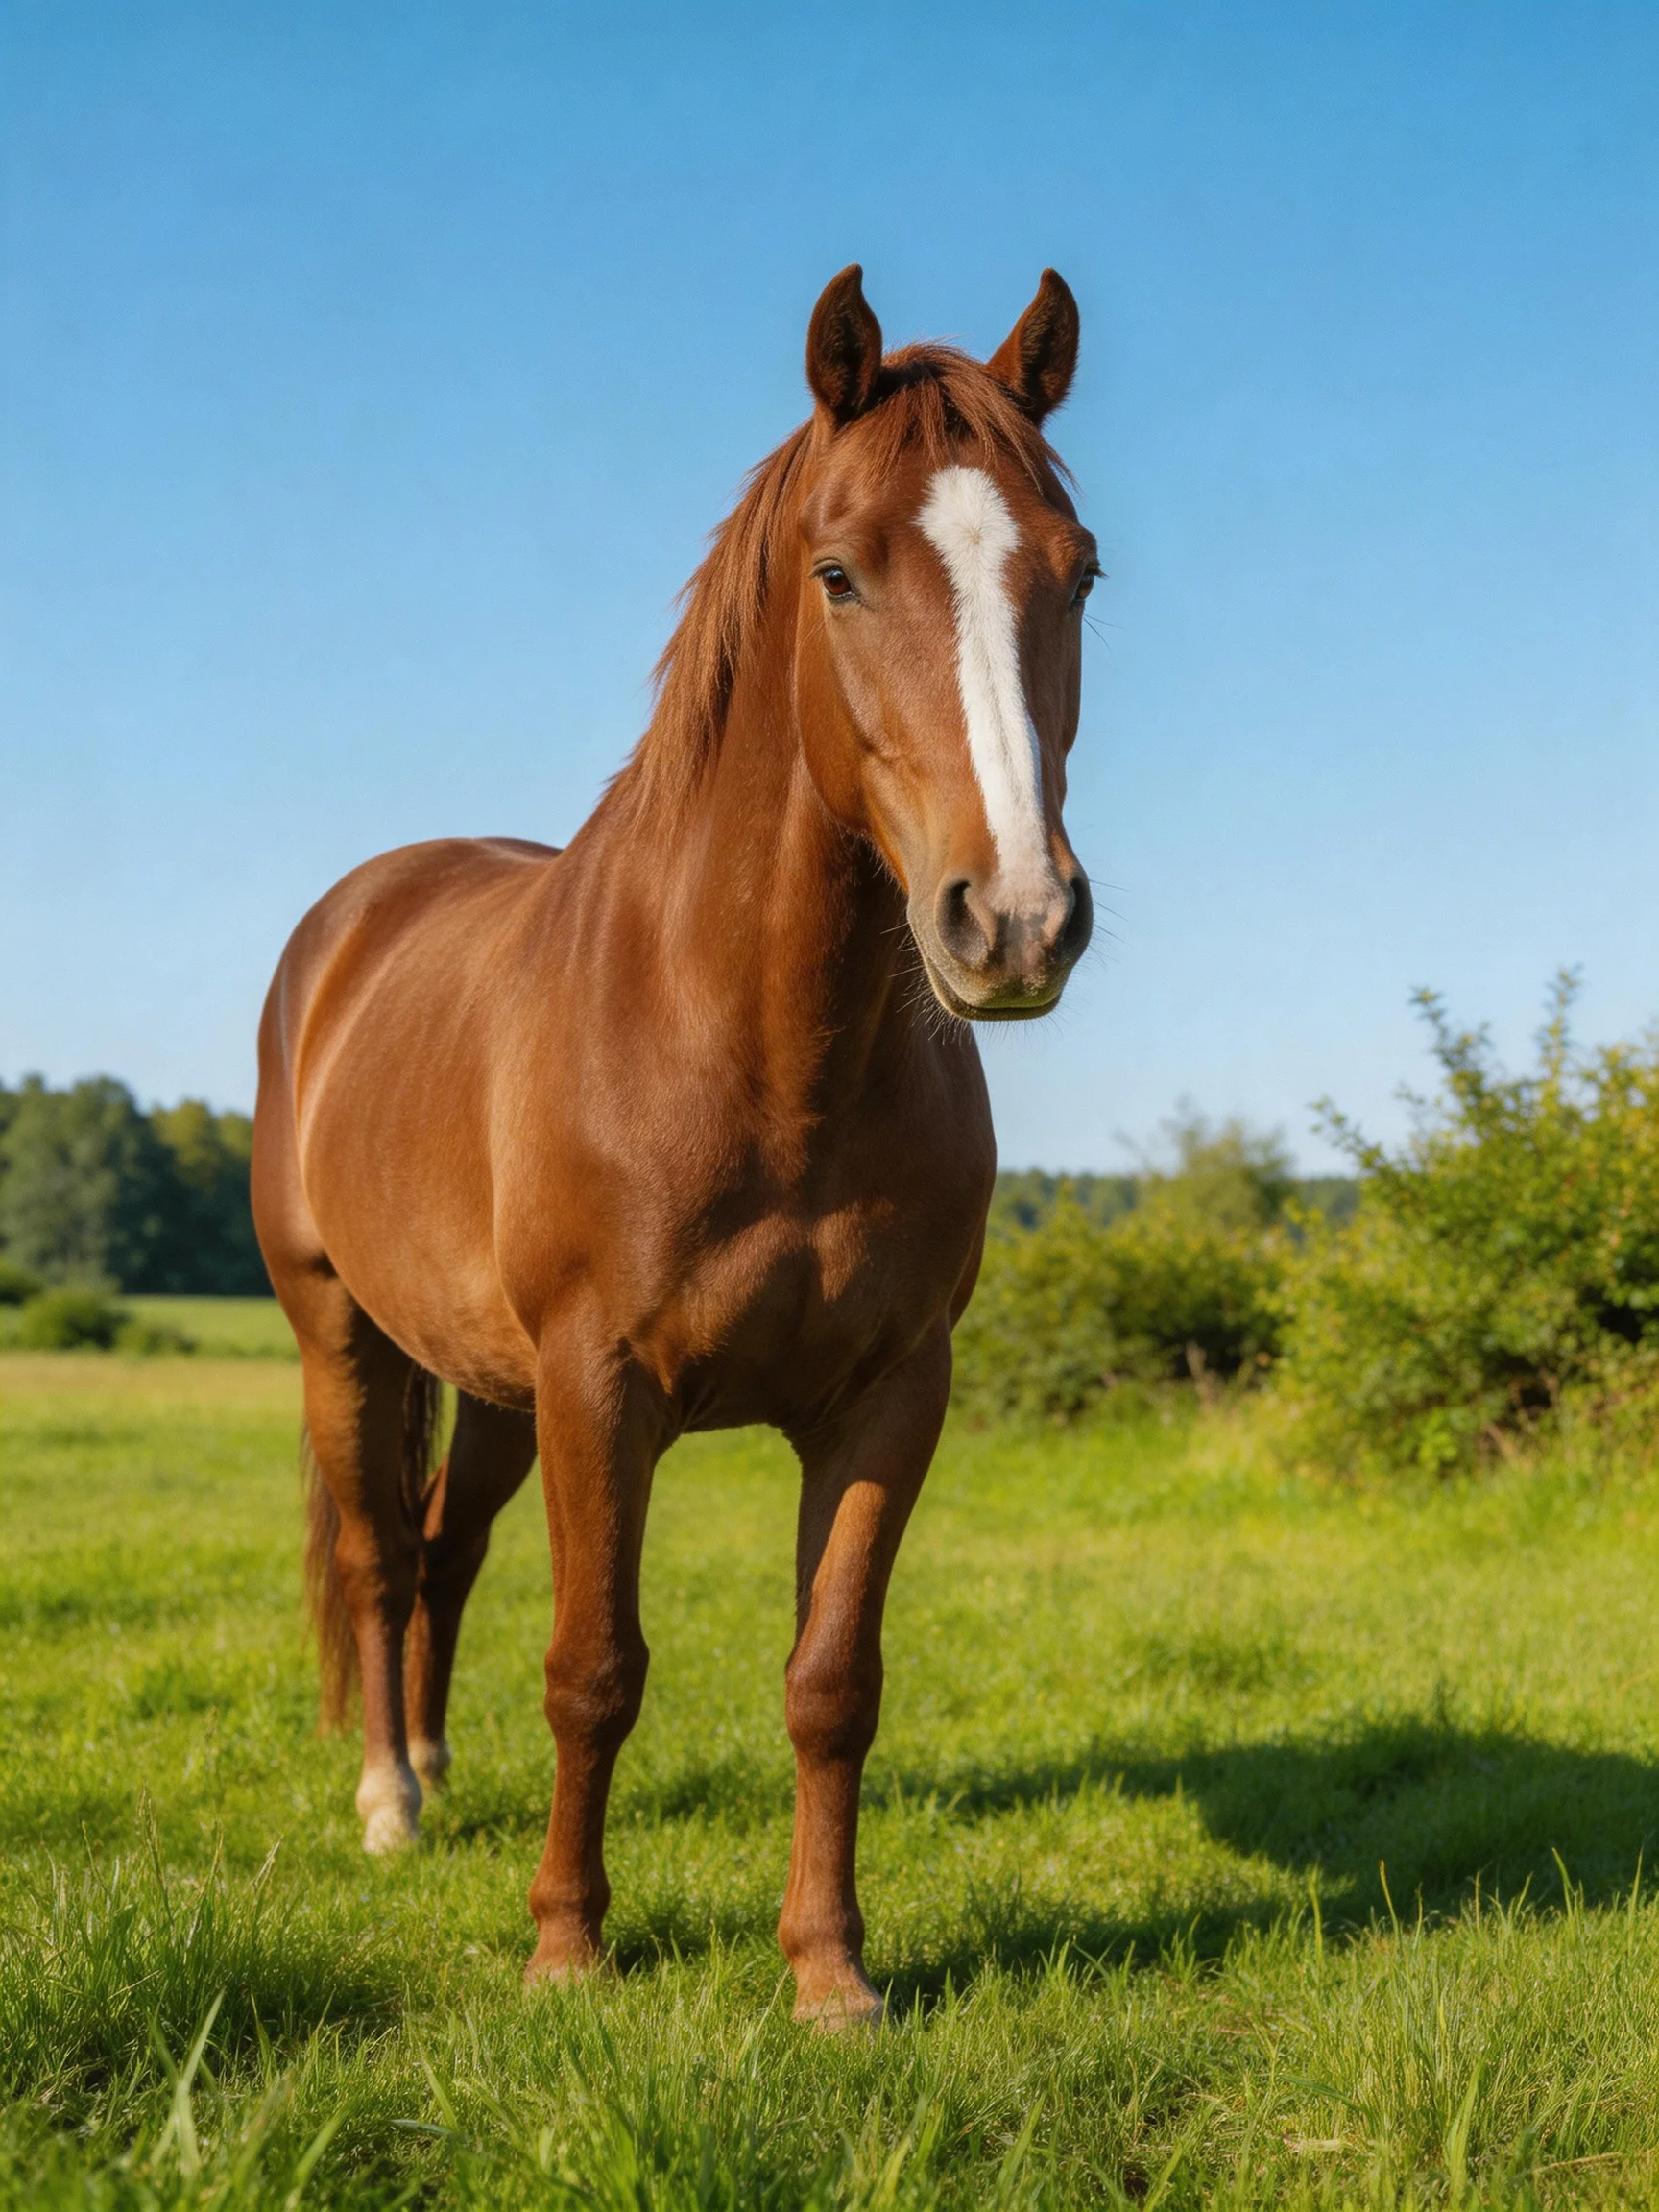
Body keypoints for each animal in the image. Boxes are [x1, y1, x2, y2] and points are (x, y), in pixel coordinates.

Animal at [251, 264, 1097, 2028]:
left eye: (1076, 571)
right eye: (839, 573)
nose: (1016, 922)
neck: (754, 1047)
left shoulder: (888, 1392)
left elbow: (832, 1679)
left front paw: (830, 1971)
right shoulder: (600, 1385)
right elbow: (595, 1667)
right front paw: (567, 1947)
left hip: (492, 1390)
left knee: (443, 1557)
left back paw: (438, 1763)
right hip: (341, 1336)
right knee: (377, 1557)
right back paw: (389, 1796)